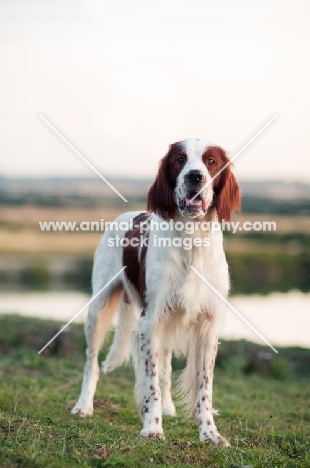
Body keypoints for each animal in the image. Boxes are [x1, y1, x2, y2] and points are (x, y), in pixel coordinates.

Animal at [72, 139, 240, 446]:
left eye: (210, 161)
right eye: (179, 160)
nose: (194, 176)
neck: (191, 240)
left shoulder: (207, 324)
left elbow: (204, 387)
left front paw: (210, 433)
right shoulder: (151, 320)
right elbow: (151, 382)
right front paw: (152, 427)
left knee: (164, 369)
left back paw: (168, 408)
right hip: (98, 309)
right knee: (92, 363)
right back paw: (84, 406)